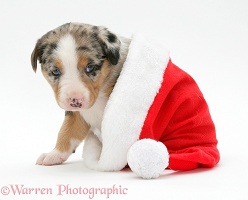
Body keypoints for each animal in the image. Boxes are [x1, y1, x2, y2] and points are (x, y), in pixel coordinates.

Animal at [31, 22, 130, 165]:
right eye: (55, 71)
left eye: (90, 67)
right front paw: (54, 154)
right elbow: (68, 131)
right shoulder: (77, 114)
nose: (75, 100)